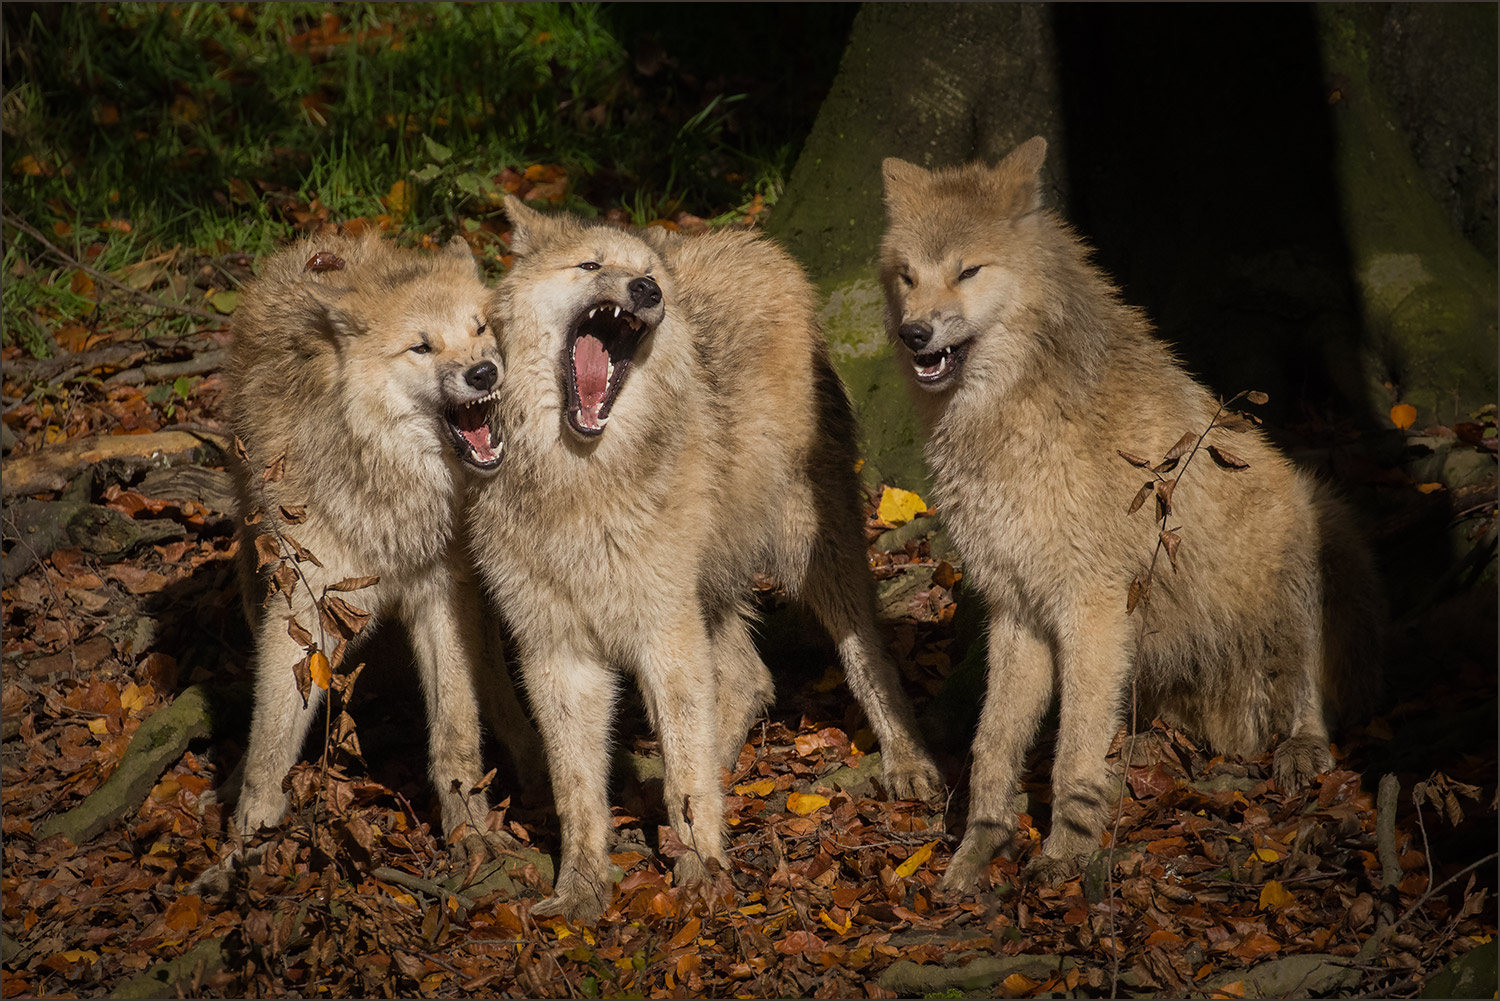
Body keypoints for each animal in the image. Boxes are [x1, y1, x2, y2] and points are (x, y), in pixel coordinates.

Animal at [226, 229, 540, 846]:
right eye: (420, 347)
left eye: (480, 328)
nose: (484, 372)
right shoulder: (303, 608)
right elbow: (270, 736)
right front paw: (250, 831)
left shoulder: (443, 593)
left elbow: (456, 727)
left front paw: (469, 825)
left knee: (496, 685)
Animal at [468, 199, 942, 930]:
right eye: (590, 264)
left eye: (648, 275)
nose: (647, 290)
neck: (579, 481)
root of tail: (761, 249)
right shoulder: (558, 653)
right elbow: (577, 792)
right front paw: (581, 888)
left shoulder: (666, 633)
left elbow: (686, 774)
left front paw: (699, 873)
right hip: (708, 593)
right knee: (750, 680)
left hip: (810, 556)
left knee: (864, 653)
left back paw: (907, 761)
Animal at [876, 135, 1380, 894]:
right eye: (908, 276)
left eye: (966, 270)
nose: (914, 332)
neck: (1009, 422)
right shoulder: (1016, 607)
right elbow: (993, 743)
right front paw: (978, 850)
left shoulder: (1092, 603)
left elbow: (1072, 747)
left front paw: (1065, 854)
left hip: (1313, 529)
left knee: (1308, 689)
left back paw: (1298, 748)